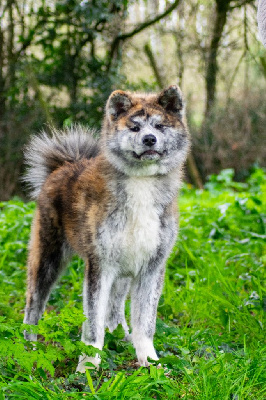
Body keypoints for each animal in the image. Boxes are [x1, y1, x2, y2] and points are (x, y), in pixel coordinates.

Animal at [22, 85, 189, 372]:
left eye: (160, 126)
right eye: (134, 127)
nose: (149, 140)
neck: (142, 184)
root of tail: (63, 166)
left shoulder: (151, 268)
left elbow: (145, 322)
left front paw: (150, 362)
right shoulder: (100, 267)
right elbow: (93, 325)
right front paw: (88, 366)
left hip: (122, 273)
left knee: (114, 310)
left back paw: (121, 338)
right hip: (47, 259)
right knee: (33, 307)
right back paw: (29, 348)